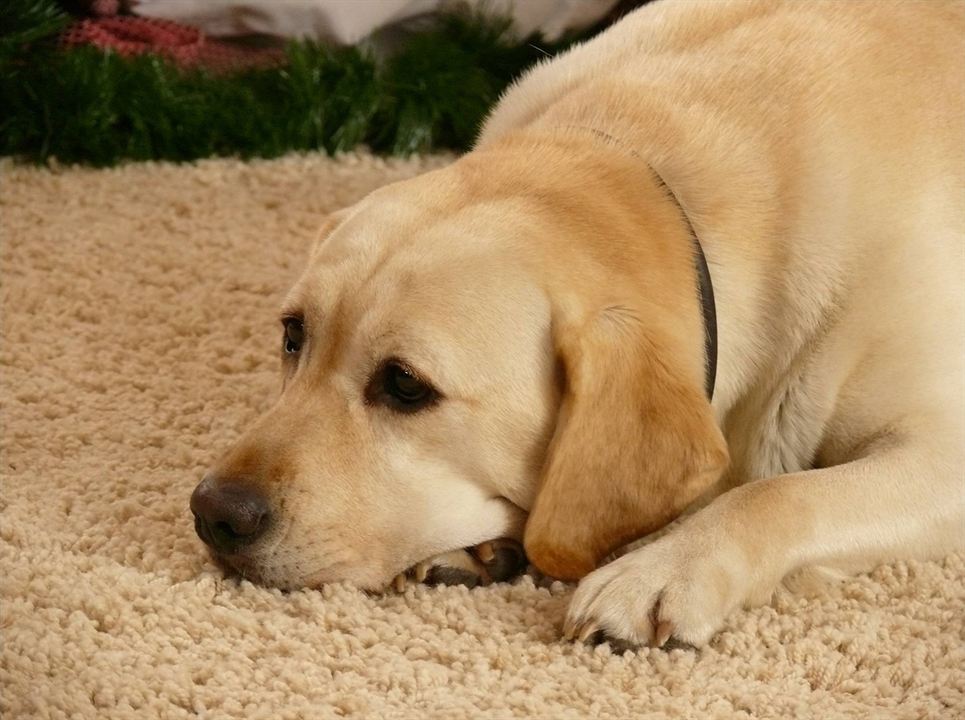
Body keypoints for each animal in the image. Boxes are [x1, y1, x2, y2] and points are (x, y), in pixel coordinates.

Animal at [190, 0, 964, 648]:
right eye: (293, 336)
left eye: (406, 386)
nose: (214, 513)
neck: (659, 181)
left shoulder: (942, 449)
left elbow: (776, 493)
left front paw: (660, 571)